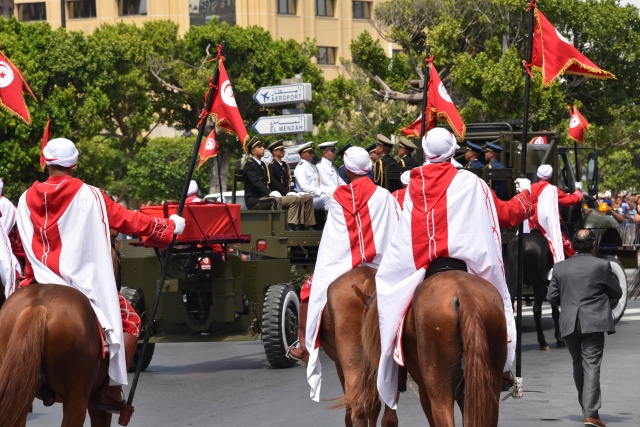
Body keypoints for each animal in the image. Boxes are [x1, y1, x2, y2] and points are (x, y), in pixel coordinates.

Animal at [318, 266, 398, 426]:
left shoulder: (340, 365)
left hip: (352, 362)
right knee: (389, 417)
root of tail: (367, 279)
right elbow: (374, 406)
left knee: (358, 411)